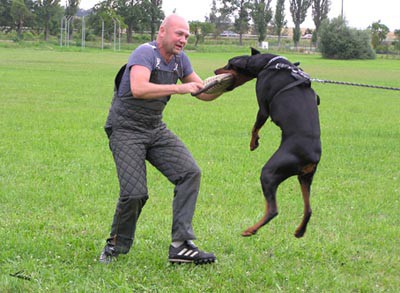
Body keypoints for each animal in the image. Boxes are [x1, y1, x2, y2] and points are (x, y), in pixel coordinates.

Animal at [216, 47, 322, 235]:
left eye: (229, 64)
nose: (215, 71)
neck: (270, 64)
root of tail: (312, 158)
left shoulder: (263, 108)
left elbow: (255, 127)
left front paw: (253, 143)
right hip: (305, 178)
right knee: (308, 209)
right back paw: (299, 232)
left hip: (269, 173)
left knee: (273, 210)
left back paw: (250, 230)